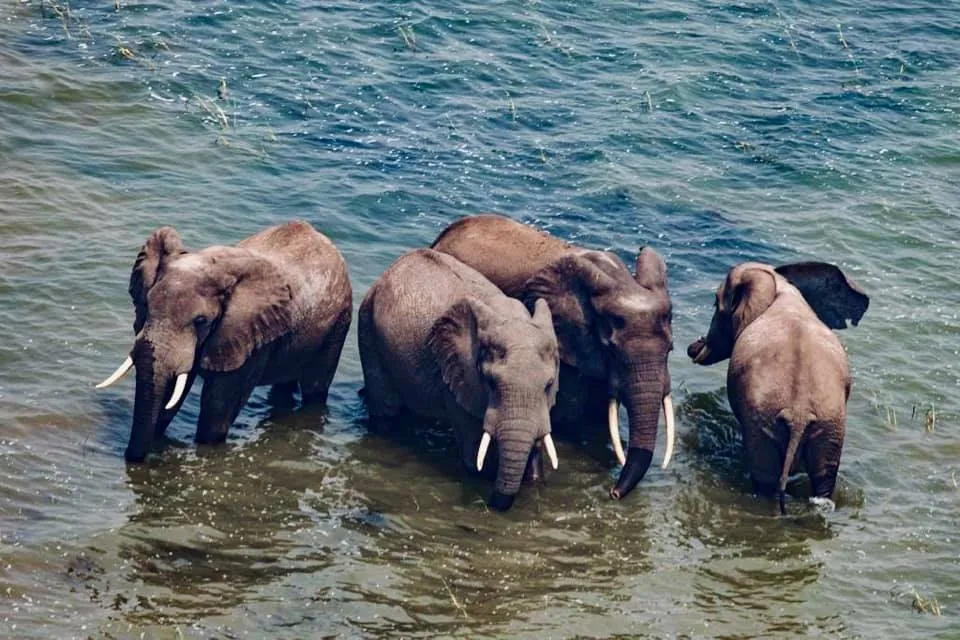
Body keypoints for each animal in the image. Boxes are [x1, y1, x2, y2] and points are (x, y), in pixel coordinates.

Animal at [96, 220, 352, 462]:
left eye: (200, 320)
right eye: (147, 305)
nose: (130, 460)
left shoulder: (253, 336)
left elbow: (218, 406)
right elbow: (173, 390)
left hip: (339, 323)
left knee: (315, 387)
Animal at [357, 248, 561, 511]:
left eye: (548, 386)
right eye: (491, 383)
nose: (496, 507)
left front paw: (533, 479)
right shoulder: (458, 377)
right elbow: (475, 452)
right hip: (367, 329)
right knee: (386, 409)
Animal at [686, 261, 869, 513]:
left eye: (715, 303)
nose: (692, 347)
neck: (778, 281)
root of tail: (799, 414)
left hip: (766, 423)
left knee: (764, 477)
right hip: (831, 427)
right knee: (823, 479)